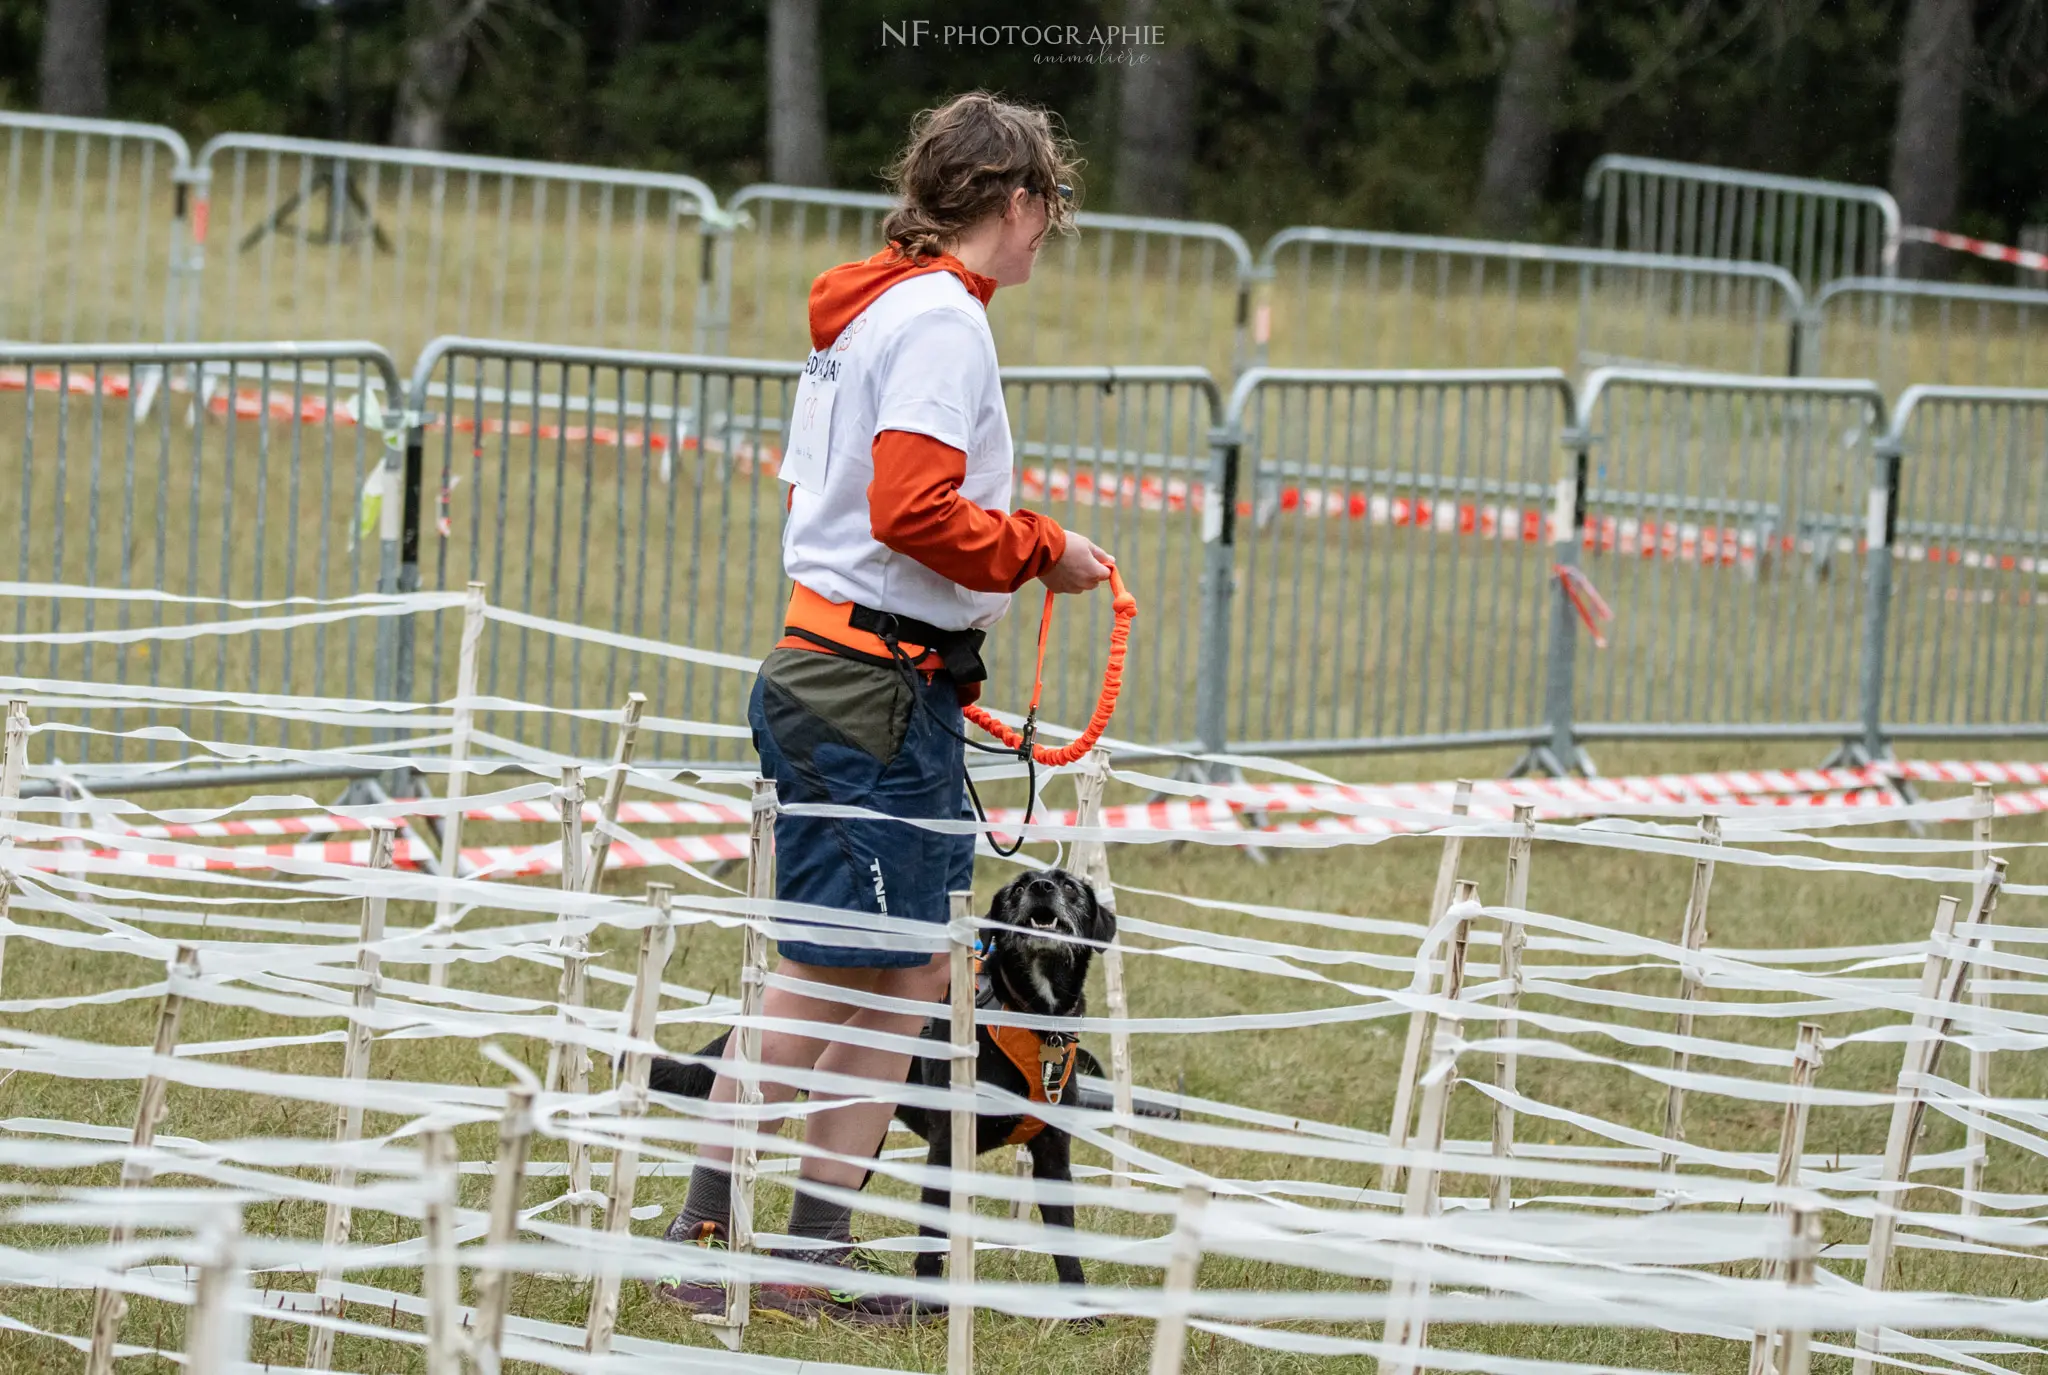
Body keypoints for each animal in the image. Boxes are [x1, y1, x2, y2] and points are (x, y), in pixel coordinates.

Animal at [647, 872, 1130, 1295]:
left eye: (1071, 886)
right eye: (1016, 889)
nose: (1042, 887)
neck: (1030, 1017)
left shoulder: (1053, 1155)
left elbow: (1065, 1243)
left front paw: (1081, 1313)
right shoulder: (946, 1149)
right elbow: (933, 1240)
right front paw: (929, 1305)